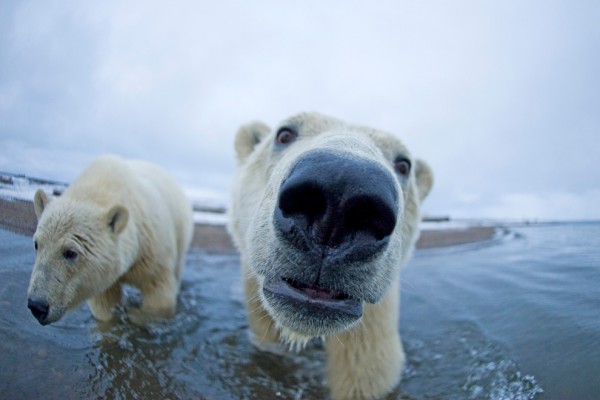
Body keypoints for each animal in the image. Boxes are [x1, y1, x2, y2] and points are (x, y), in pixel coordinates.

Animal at [27, 155, 192, 326]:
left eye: (70, 252)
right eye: (37, 244)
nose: (37, 306)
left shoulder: (151, 252)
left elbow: (158, 294)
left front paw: (135, 317)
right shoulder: (101, 276)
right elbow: (105, 307)